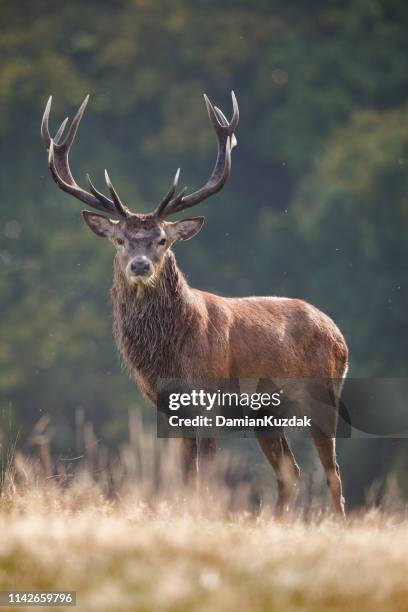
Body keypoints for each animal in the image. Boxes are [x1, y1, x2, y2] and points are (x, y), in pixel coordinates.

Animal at [40, 91, 348, 512]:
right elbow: (185, 477)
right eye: (120, 240)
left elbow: (206, 477)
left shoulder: (210, 397)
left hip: (324, 393)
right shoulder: (167, 407)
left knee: (332, 474)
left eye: (162, 240)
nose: (140, 265)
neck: (170, 355)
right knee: (291, 471)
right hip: (266, 415)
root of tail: (337, 332)